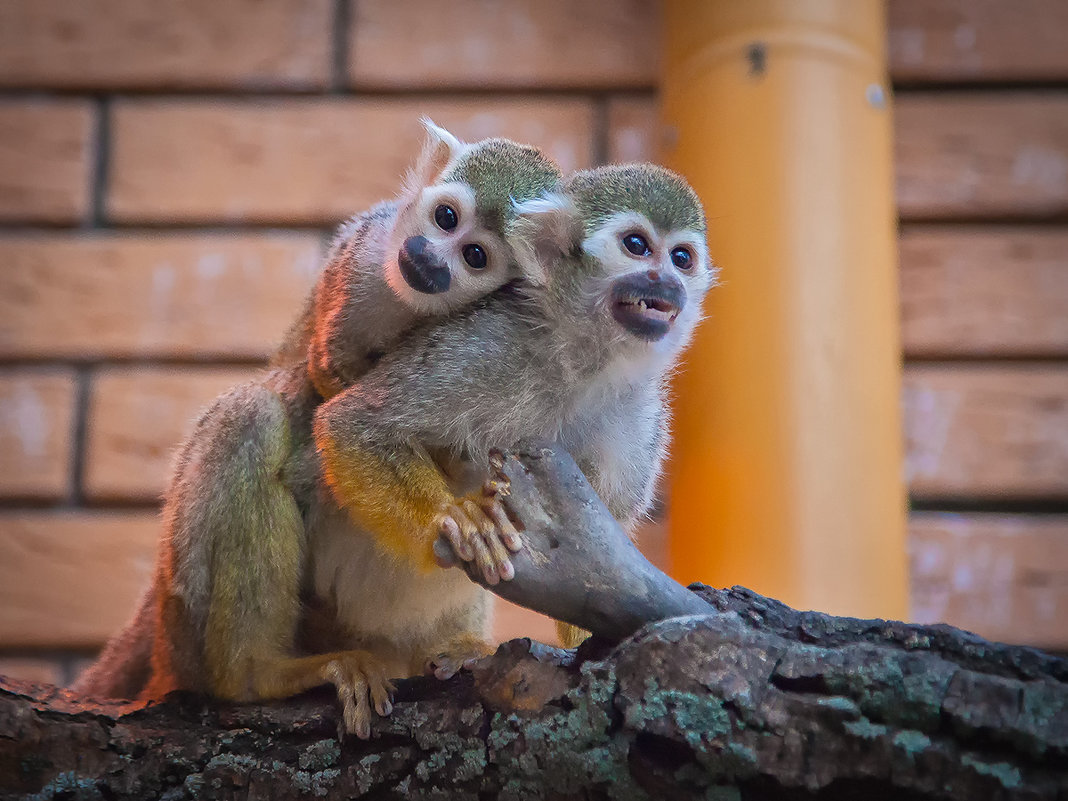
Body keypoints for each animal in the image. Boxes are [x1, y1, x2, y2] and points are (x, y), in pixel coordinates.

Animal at [68, 120, 559, 739]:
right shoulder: (365, 257)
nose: (427, 258)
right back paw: (258, 674)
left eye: (475, 256)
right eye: (446, 217)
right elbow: (328, 378)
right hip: (183, 615)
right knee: (254, 414)